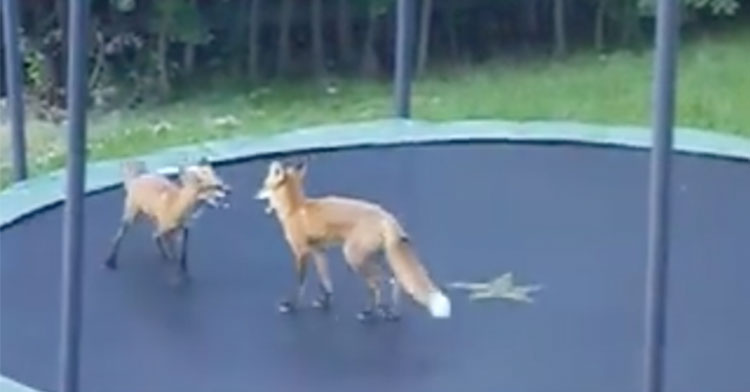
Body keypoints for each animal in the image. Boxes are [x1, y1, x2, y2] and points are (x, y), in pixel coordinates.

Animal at [256, 160, 452, 322]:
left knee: (376, 283)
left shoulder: (301, 252)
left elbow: (300, 284)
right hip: (377, 257)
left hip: (353, 257)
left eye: (264, 186)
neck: (296, 210)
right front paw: (324, 301)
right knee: (394, 280)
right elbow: (325, 282)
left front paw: (291, 304)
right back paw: (391, 312)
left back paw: (369, 312)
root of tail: (387, 217)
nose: (256, 194)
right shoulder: (319, 251)